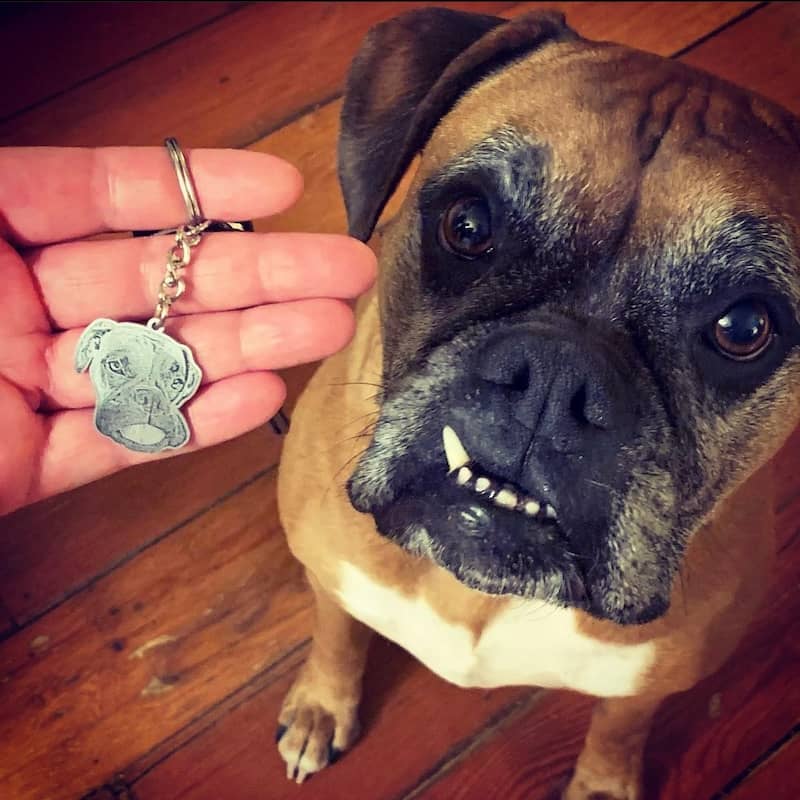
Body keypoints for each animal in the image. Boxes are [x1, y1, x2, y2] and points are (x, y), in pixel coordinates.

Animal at [276, 7, 800, 800]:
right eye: (467, 224)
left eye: (745, 327)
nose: (556, 376)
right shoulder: (332, 574)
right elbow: (337, 631)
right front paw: (319, 706)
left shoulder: (648, 682)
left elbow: (620, 727)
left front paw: (603, 784)